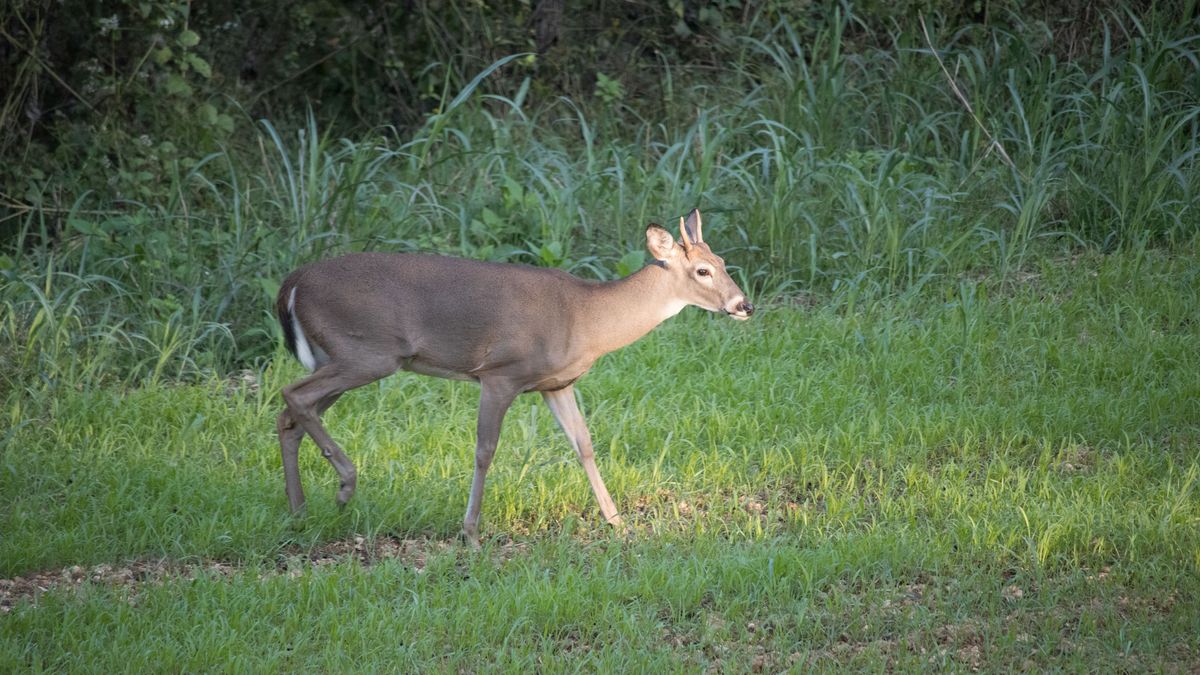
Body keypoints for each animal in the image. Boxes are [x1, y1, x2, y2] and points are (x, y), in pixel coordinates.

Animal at [274, 208, 754, 546]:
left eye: (723, 260)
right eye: (702, 271)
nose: (744, 305)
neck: (586, 319)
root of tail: (290, 284)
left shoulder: (557, 384)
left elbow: (584, 445)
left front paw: (617, 522)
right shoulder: (500, 373)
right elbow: (485, 451)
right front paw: (470, 532)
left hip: (340, 356)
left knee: (291, 414)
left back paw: (299, 511)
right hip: (366, 352)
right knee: (293, 393)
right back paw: (344, 486)